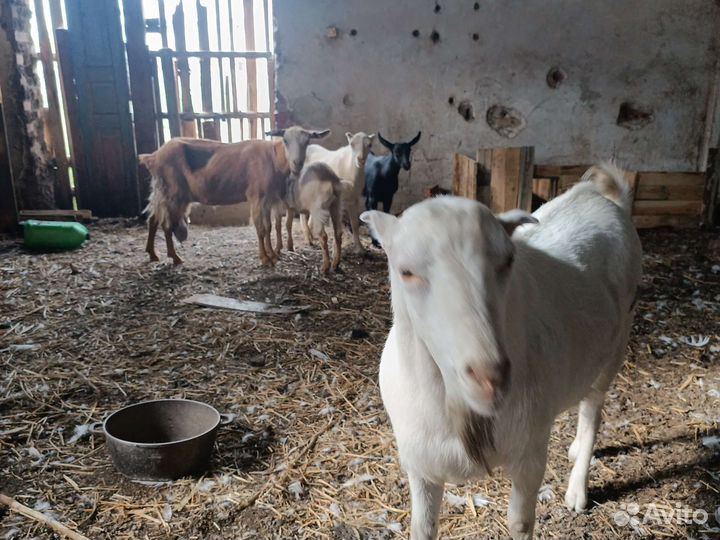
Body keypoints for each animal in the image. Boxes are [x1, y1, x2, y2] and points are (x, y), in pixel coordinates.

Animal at [139, 126, 329, 266]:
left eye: (307, 141)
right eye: (285, 140)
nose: (298, 163)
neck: (273, 158)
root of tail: (153, 157)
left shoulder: (267, 199)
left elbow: (268, 227)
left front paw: (273, 255)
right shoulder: (256, 197)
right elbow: (261, 229)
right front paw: (265, 258)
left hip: (163, 191)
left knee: (154, 219)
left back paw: (153, 254)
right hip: (171, 192)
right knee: (165, 223)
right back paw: (175, 257)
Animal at [361, 163, 642, 540]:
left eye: (508, 261)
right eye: (406, 271)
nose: (489, 377)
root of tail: (602, 197)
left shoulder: (529, 457)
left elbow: (520, 523)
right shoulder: (421, 467)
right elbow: (422, 528)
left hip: (616, 344)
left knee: (593, 409)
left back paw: (577, 490)